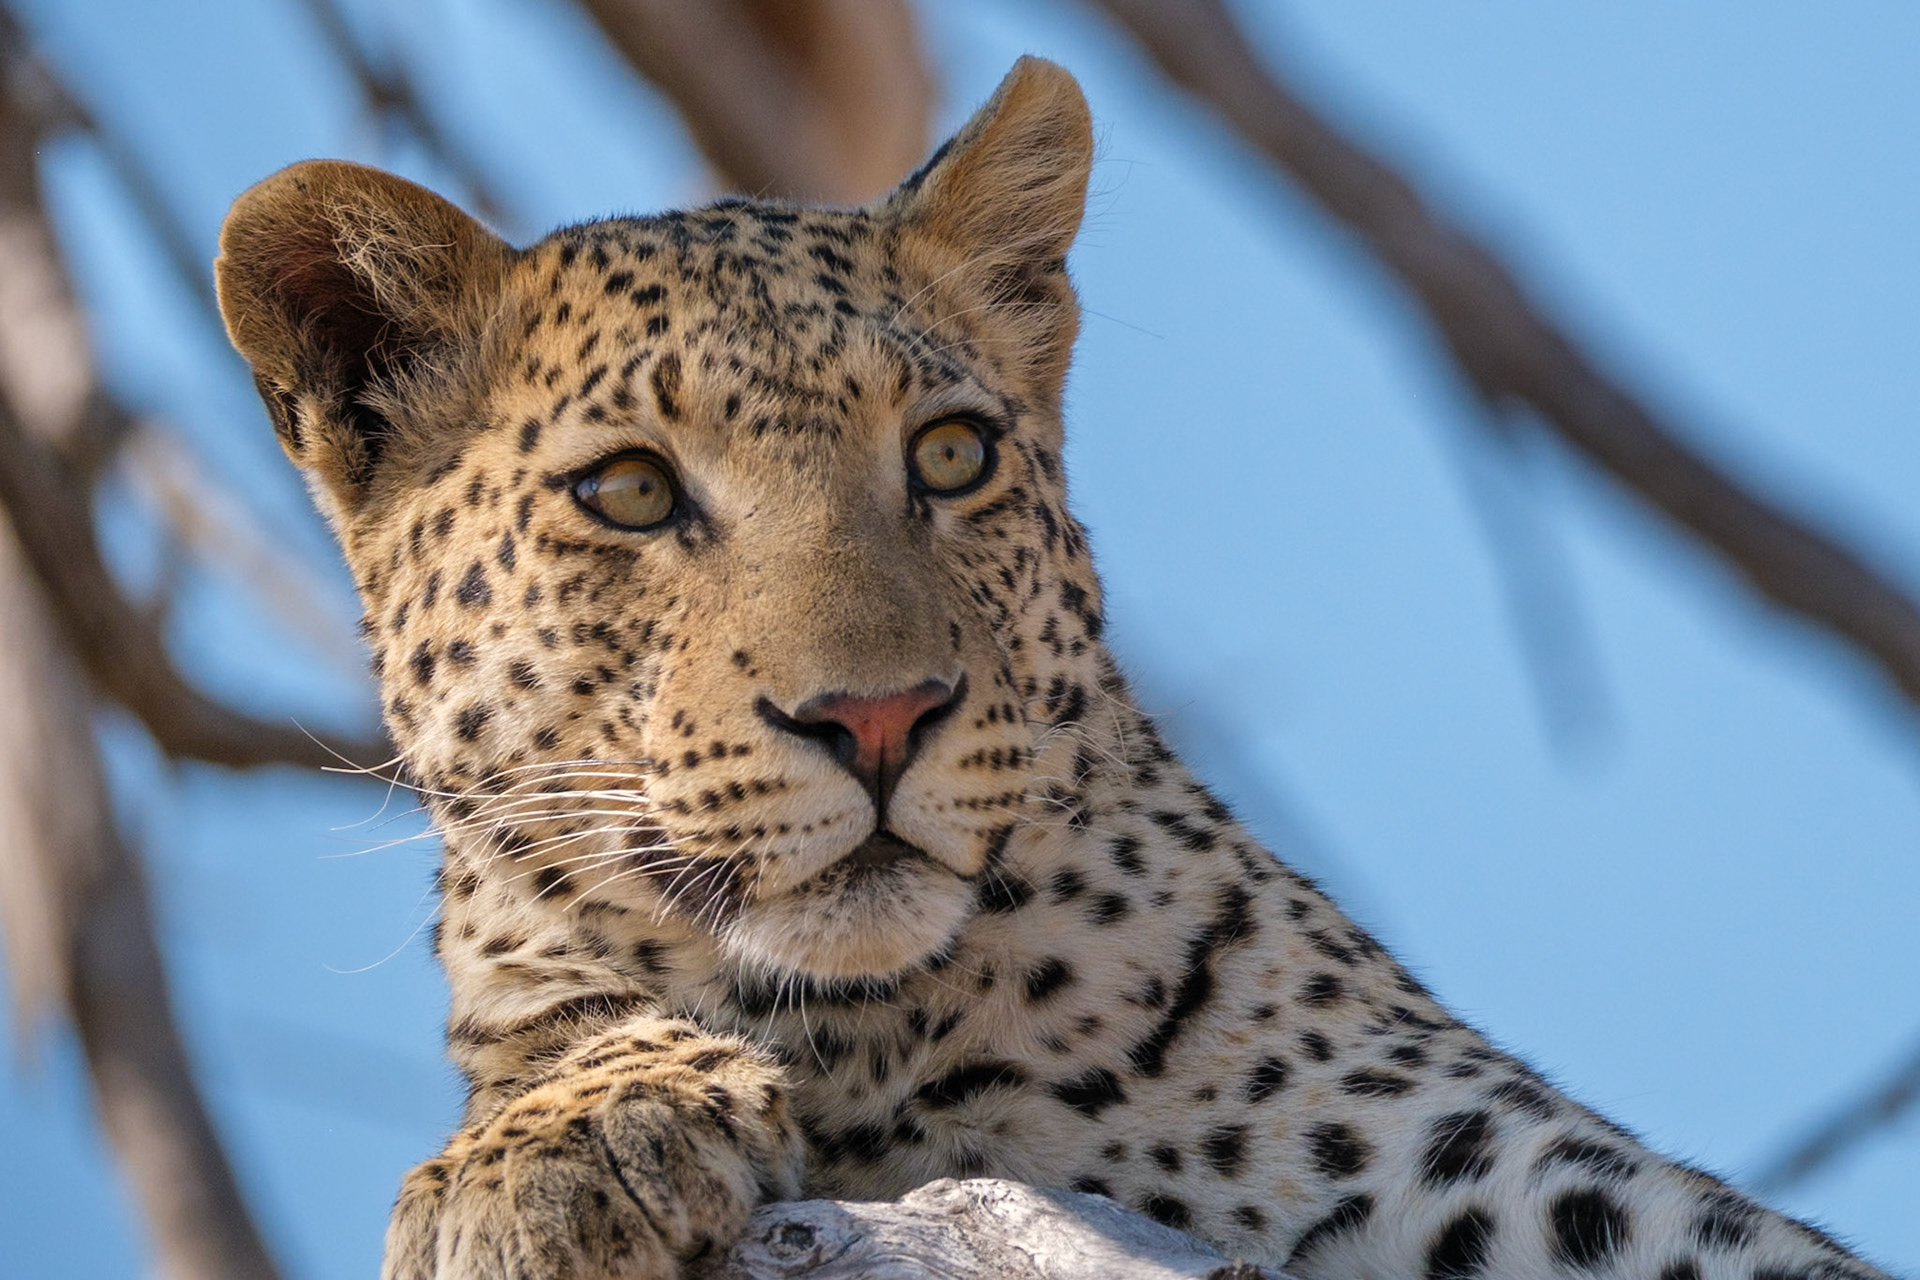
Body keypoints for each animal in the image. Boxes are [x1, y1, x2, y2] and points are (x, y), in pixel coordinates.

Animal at [215, 55, 1895, 1280]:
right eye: (629, 490)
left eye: (951, 456)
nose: (879, 718)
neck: (878, 1043)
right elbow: (548, 1029)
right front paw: (566, 1144)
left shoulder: (1509, 1178)